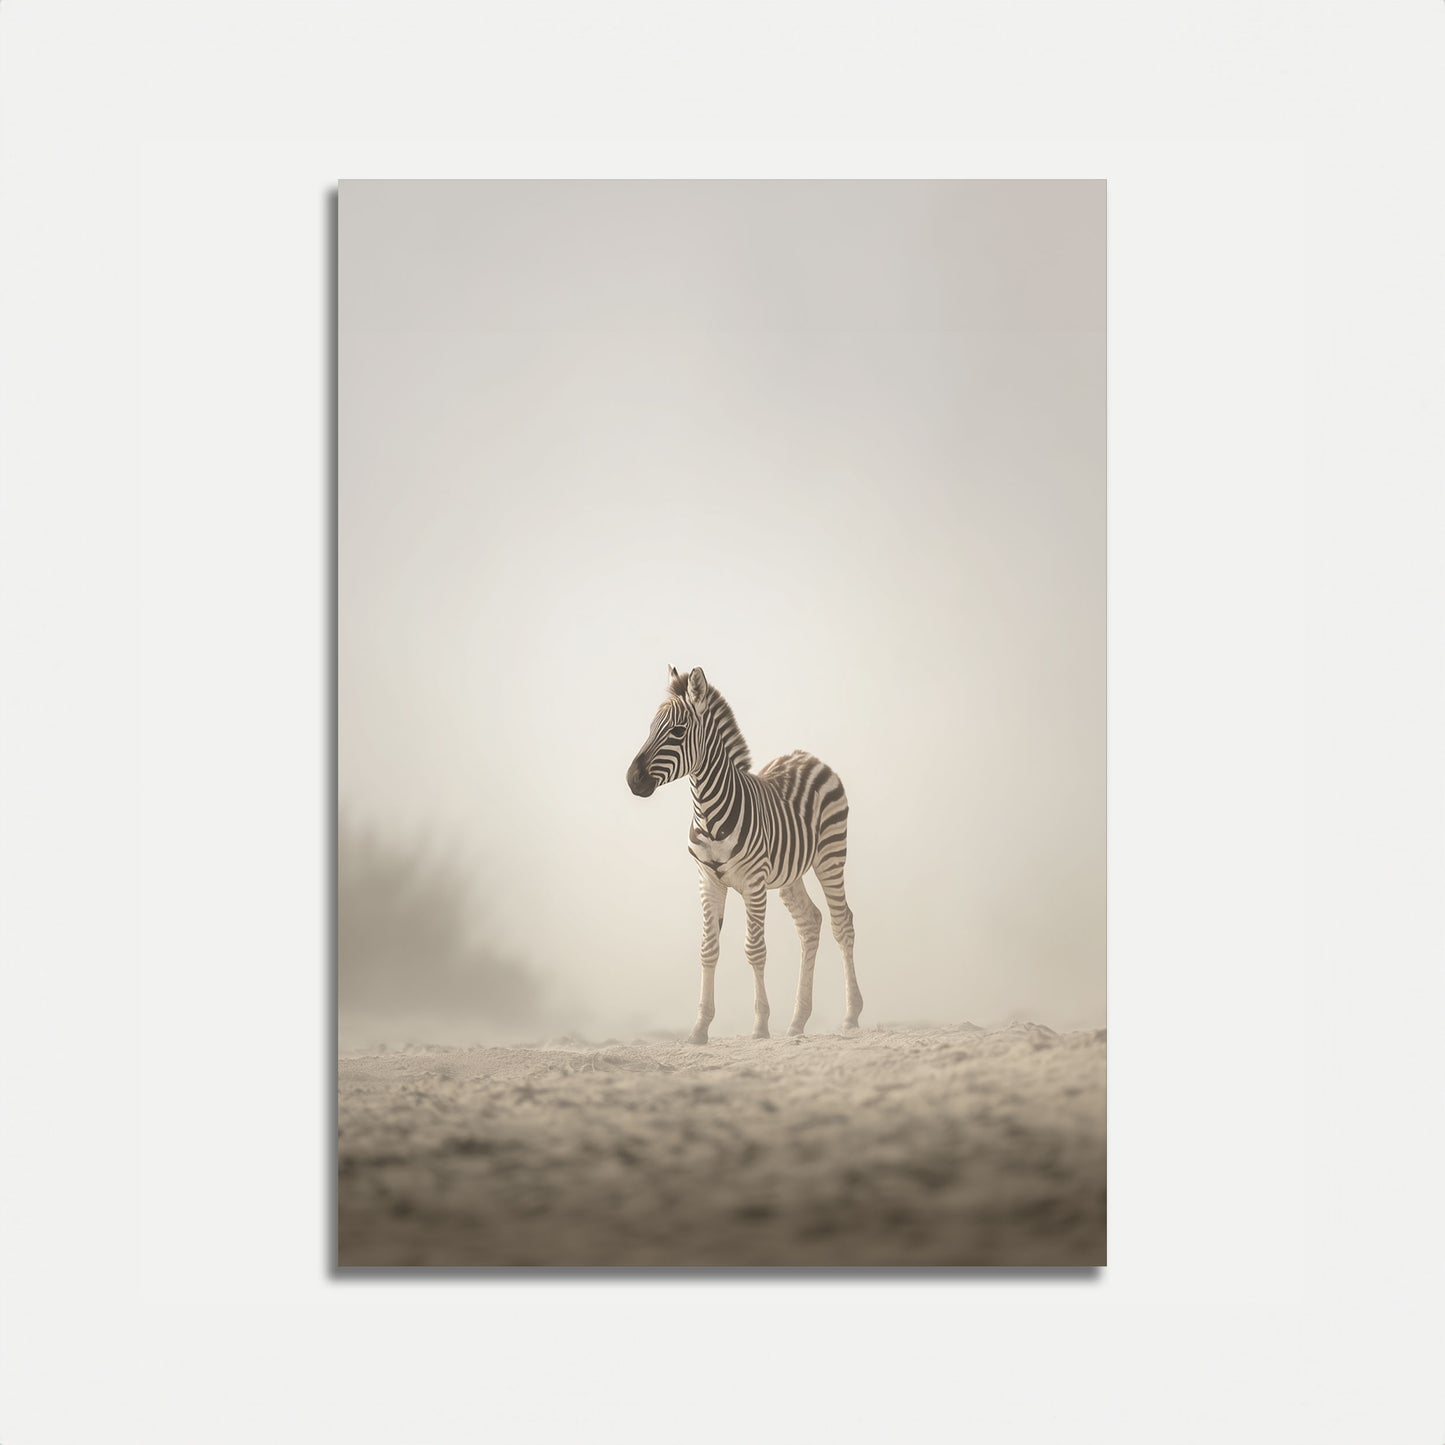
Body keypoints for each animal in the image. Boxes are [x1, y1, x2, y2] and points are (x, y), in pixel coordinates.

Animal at [625, 666, 862, 1044]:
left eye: (677, 731)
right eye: (650, 729)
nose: (632, 779)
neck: (708, 814)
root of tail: (807, 755)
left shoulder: (753, 883)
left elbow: (755, 950)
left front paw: (760, 1025)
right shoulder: (708, 881)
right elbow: (708, 949)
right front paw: (699, 1028)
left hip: (830, 854)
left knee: (842, 923)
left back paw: (851, 1016)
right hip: (789, 874)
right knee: (810, 923)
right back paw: (797, 1021)